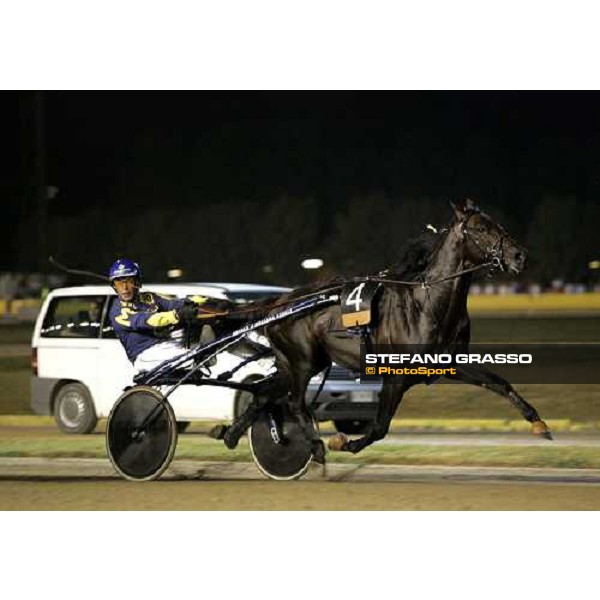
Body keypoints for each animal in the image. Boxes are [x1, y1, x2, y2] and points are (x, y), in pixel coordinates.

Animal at [213, 199, 552, 462]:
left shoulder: (450, 364)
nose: (519, 255)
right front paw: (343, 442)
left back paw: (230, 434)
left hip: (301, 362)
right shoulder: (395, 374)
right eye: (481, 228)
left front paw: (539, 423)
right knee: (294, 403)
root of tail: (282, 301)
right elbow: (379, 426)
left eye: (497, 224)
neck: (430, 303)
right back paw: (315, 446)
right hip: (302, 362)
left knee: (263, 394)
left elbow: (499, 382)